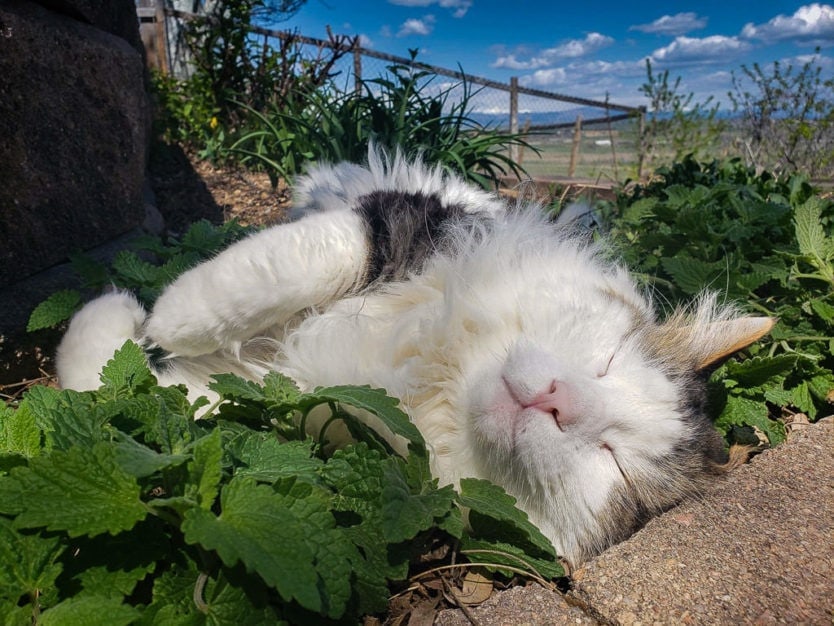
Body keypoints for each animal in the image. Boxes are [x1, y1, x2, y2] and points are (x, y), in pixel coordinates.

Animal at [55, 149, 772, 564]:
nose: (558, 401)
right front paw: (167, 313)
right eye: (606, 363)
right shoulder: (409, 223)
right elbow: (300, 262)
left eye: (614, 464)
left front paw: (121, 325)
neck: (430, 374)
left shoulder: (276, 405)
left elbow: (134, 399)